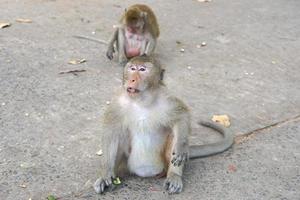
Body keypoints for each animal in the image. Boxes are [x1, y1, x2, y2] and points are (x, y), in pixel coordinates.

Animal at [92, 55, 233, 195]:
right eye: (132, 68)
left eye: (142, 70)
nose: (132, 79)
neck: (142, 100)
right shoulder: (118, 103)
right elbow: (111, 131)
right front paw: (105, 173)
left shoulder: (167, 99)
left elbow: (181, 116)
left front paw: (181, 146)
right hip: (125, 164)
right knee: (120, 135)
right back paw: (111, 176)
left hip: (164, 163)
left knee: (174, 135)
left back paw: (174, 176)